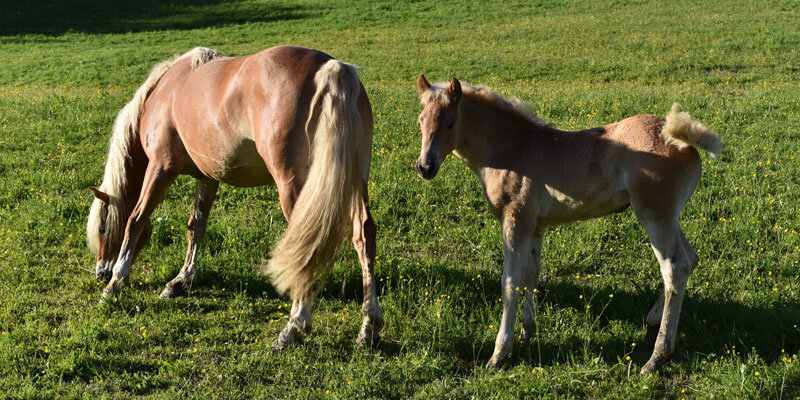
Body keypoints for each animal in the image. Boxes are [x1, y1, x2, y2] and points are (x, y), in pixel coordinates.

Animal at [86, 45, 384, 348]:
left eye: (102, 228)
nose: (100, 272)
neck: (163, 92)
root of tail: (331, 69)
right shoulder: (207, 177)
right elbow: (196, 227)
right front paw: (182, 280)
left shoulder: (161, 167)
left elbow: (135, 220)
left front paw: (115, 283)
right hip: (354, 181)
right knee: (364, 236)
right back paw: (368, 326)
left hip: (294, 186)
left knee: (306, 243)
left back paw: (294, 326)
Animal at [414, 74, 721, 373]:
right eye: (420, 120)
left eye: (450, 122)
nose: (425, 167)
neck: (512, 149)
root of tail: (684, 142)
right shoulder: (535, 225)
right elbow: (531, 274)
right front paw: (527, 332)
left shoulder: (515, 221)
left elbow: (510, 283)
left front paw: (499, 353)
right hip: (670, 216)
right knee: (690, 259)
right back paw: (651, 325)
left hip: (655, 215)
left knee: (674, 268)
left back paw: (658, 356)